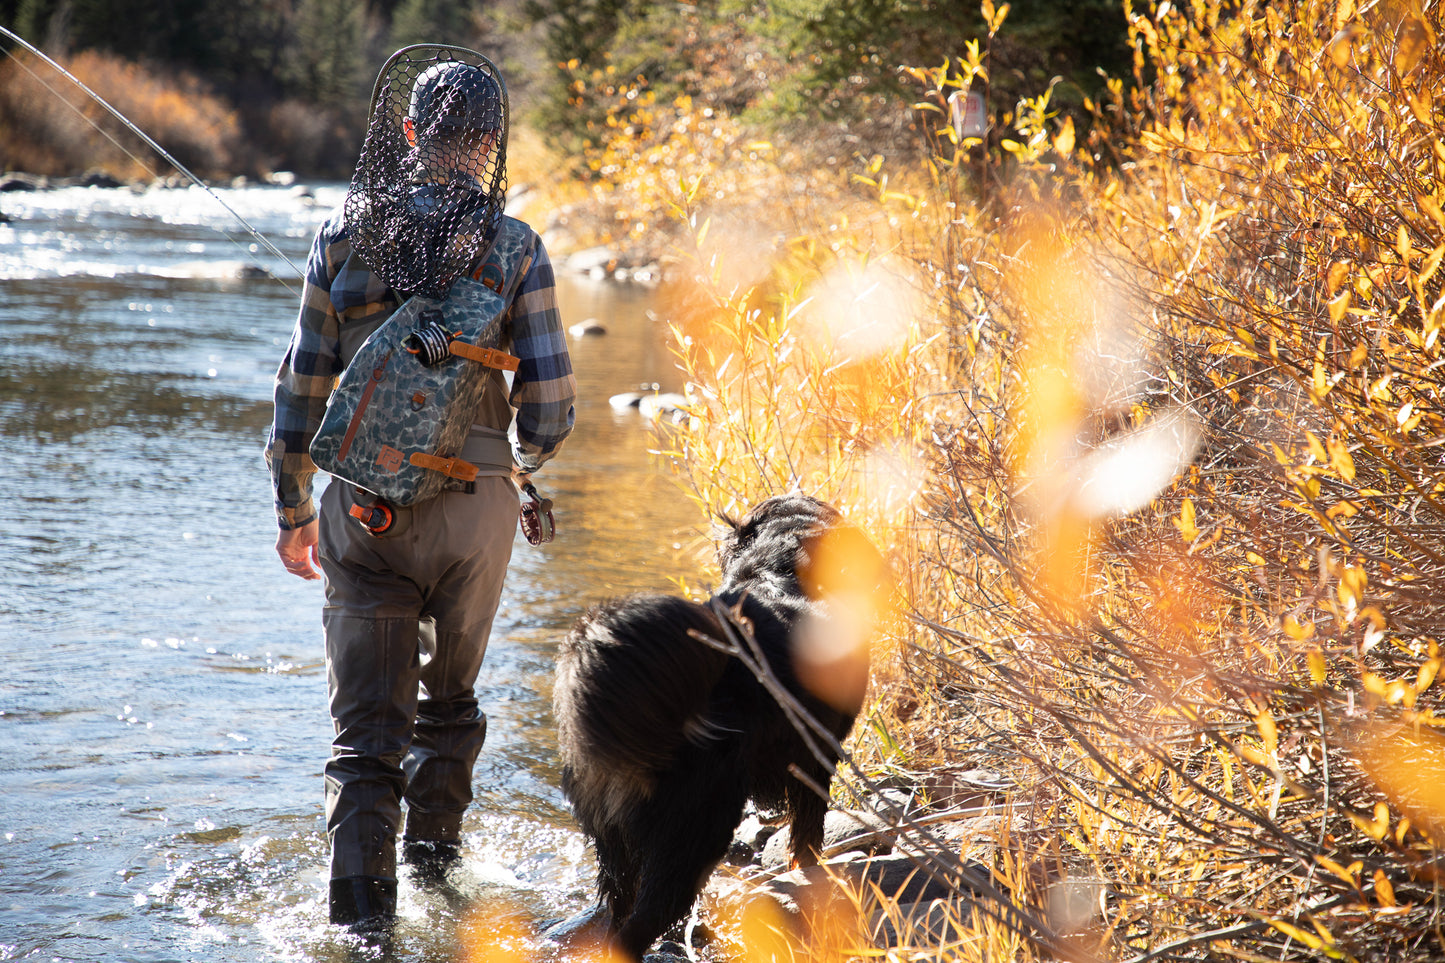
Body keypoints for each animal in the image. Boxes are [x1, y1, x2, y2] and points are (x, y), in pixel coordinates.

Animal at [551, 491, 878, 954]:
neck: (781, 572)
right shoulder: (815, 759)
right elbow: (807, 839)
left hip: (613, 840)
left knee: (620, 906)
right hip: (697, 825)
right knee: (650, 915)